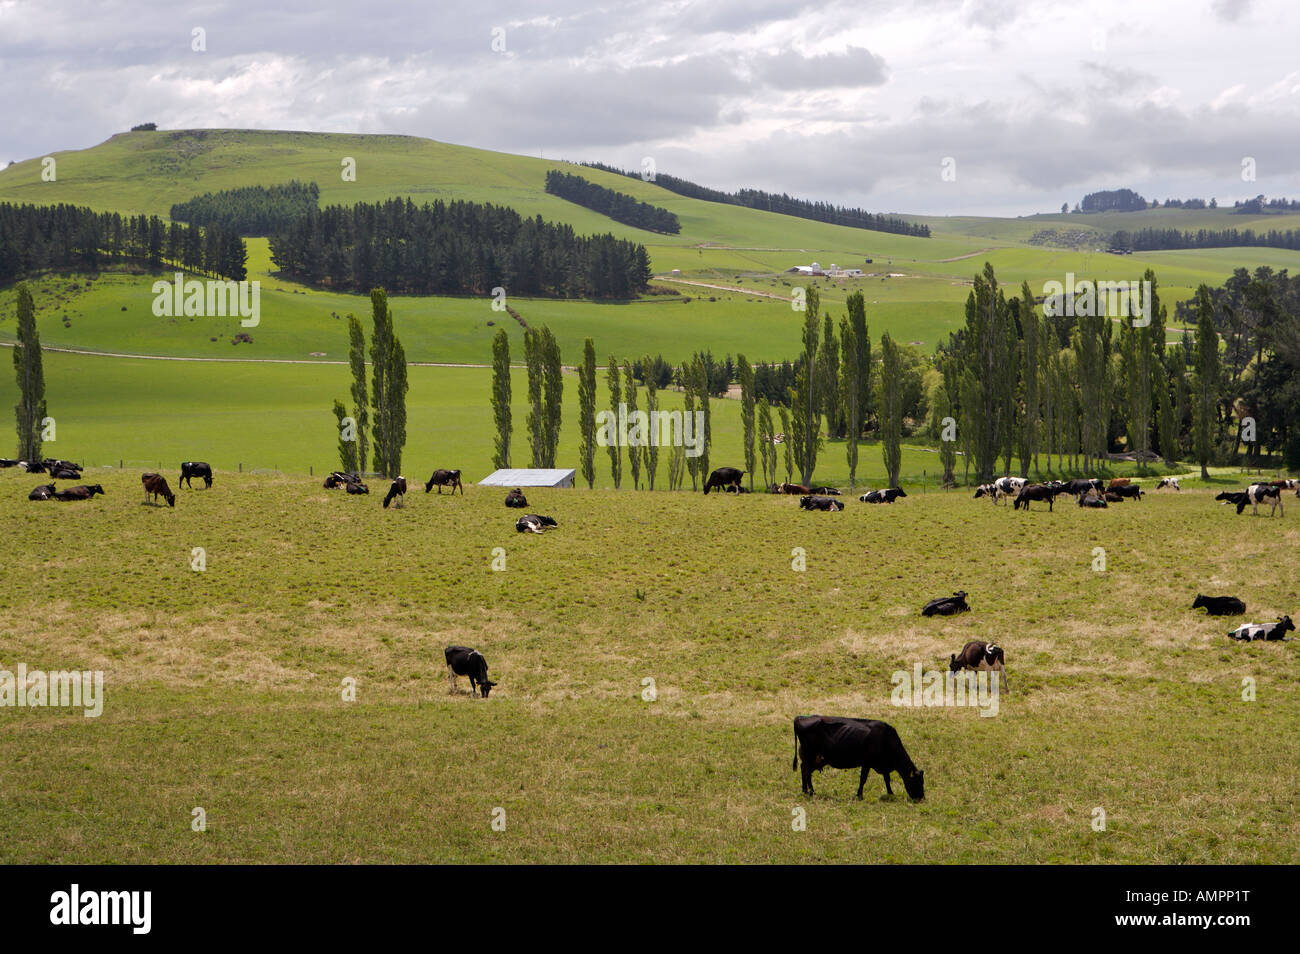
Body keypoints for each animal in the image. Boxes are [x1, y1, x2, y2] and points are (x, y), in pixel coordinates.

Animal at [790, 722, 925, 805]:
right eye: (918, 782)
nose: (922, 798)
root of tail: (799, 718)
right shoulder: (867, 763)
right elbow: (863, 779)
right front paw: (859, 795)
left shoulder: (883, 765)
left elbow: (887, 779)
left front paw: (891, 793)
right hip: (811, 756)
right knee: (806, 771)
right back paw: (811, 791)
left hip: (815, 759)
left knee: (805, 770)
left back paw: (806, 790)